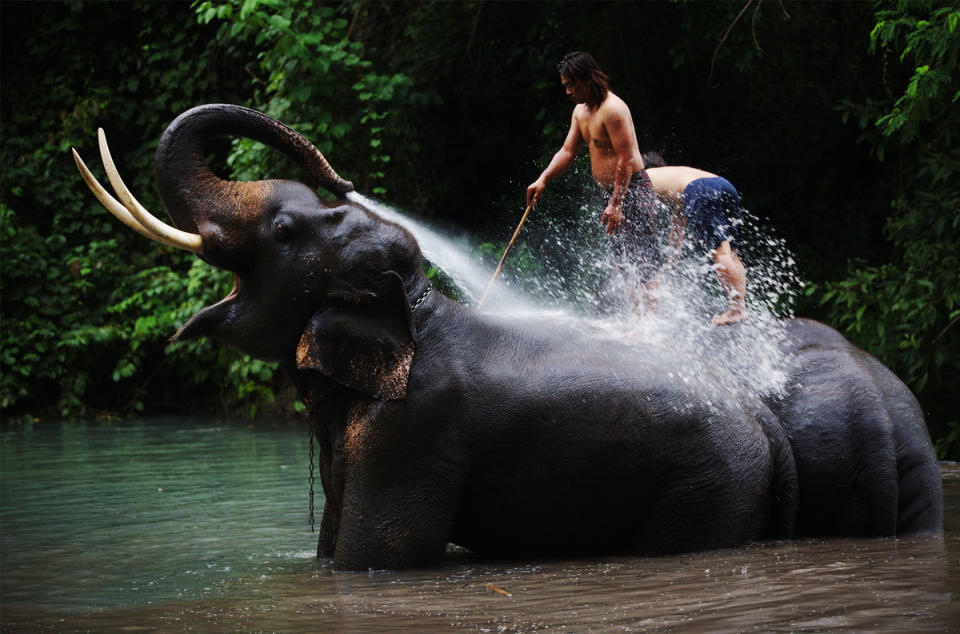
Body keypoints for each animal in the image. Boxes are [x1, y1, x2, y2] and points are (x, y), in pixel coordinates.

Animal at [75, 103, 944, 568]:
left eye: (287, 230)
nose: (342, 175)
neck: (422, 307)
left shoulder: (416, 431)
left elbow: (373, 559)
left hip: (712, 485)